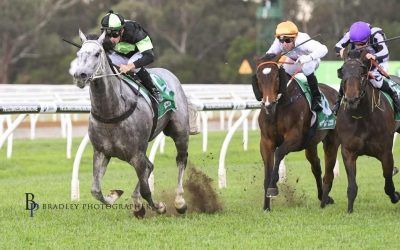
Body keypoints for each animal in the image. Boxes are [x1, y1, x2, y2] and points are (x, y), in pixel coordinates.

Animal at [72, 29, 191, 217]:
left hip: (179, 132)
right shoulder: (101, 152)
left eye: (97, 54)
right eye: (78, 54)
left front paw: (160, 207)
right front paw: (115, 196)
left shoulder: (136, 153)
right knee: (150, 166)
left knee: (181, 159)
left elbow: (146, 190)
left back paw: (179, 202)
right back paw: (137, 203)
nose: (80, 76)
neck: (112, 111)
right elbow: (96, 190)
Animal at [256, 54, 340, 211]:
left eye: (277, 76)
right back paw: (323, 196)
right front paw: (266, 207)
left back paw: (325, 198)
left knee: (327, 167)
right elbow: (267, 171)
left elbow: (279, 153)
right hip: (311, 144)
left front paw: (273, 186)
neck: (279, 107)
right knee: (316, 166)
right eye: (259, 78)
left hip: (332, 140)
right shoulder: (266, 142)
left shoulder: (295, 139)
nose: (268, 104)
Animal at [328, 50, 400, 213]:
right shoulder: (348, 151)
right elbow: (352, 186)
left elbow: (388, 180)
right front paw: (349, 210)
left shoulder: (385, 152)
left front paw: (395, 195)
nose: (351, 99)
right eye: (342, 72)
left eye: (362, 72)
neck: (361, 116)